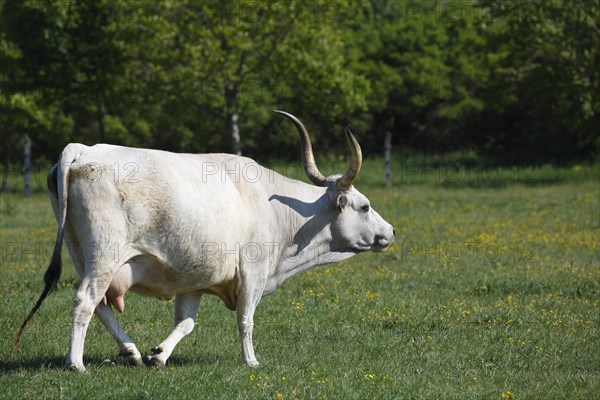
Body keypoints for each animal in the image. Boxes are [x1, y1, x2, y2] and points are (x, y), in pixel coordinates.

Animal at [14, 110, 396, 372]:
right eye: (365, 206)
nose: (391, 232)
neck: (277, 209)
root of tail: (81, 150)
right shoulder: (253, 272)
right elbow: (246, 319)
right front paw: (251, 361)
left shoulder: (193, 281)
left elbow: (186, 323)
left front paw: (159, 355)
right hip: (104, 256)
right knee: (84, 301)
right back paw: (75, 363)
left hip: (82, 254)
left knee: (102, 306)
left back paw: (132, 351)